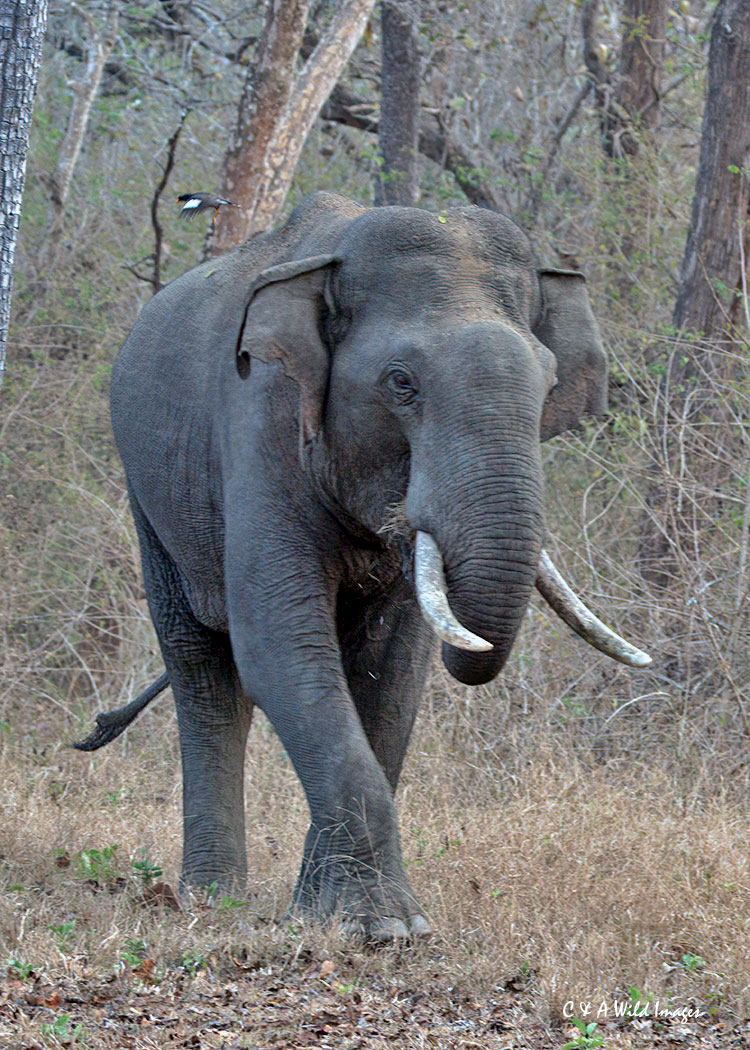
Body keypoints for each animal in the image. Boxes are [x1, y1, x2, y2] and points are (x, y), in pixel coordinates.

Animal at [76, 192, 650, 941]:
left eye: (550, 381)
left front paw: (333, 918)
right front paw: (384, 930)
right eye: (401, 383)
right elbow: (280, 644)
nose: (95, 727)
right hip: (148, 493)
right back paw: (210, 899)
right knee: (202, 667)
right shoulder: (261, 419)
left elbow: (392, 671)